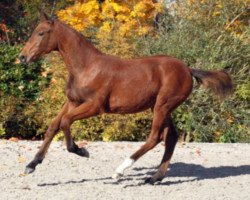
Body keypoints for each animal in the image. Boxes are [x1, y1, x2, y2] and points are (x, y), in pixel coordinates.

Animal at [19, 11, 232, 184]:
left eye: (41, 33)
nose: (22, 57)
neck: (86, 67)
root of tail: (187, 69)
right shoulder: (73, 101)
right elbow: (53, 126)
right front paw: (31, 164)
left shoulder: (94, 106)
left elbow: (65, 121)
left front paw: (81, 150)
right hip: (161, 107)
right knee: (170, 137)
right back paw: (154, 178)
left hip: (162, 106)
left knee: (155, 137)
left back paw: (120, 171)